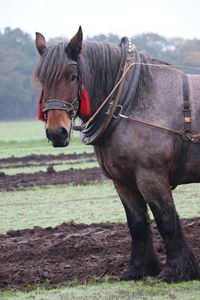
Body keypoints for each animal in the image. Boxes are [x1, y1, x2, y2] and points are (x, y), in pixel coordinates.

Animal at [33, 27, 199, 282]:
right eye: (42, 79)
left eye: (72, 76)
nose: (55, 133)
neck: (130, 99)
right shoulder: (123, 181)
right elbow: (137, 223)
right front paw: (139, 269)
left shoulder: (151, 177)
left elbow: (166, 220)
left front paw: (178, 270)